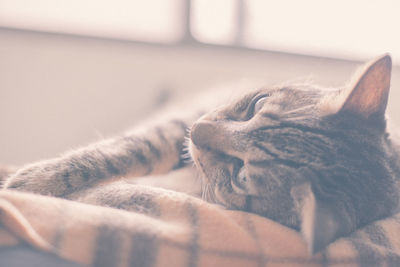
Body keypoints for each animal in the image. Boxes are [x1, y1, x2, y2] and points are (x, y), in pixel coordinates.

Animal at [1, 54, 398, 255]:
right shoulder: (177, 124)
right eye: (257, 104)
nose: (197, 130)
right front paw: (36, 178)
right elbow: (127, 148)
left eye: (240, 174)